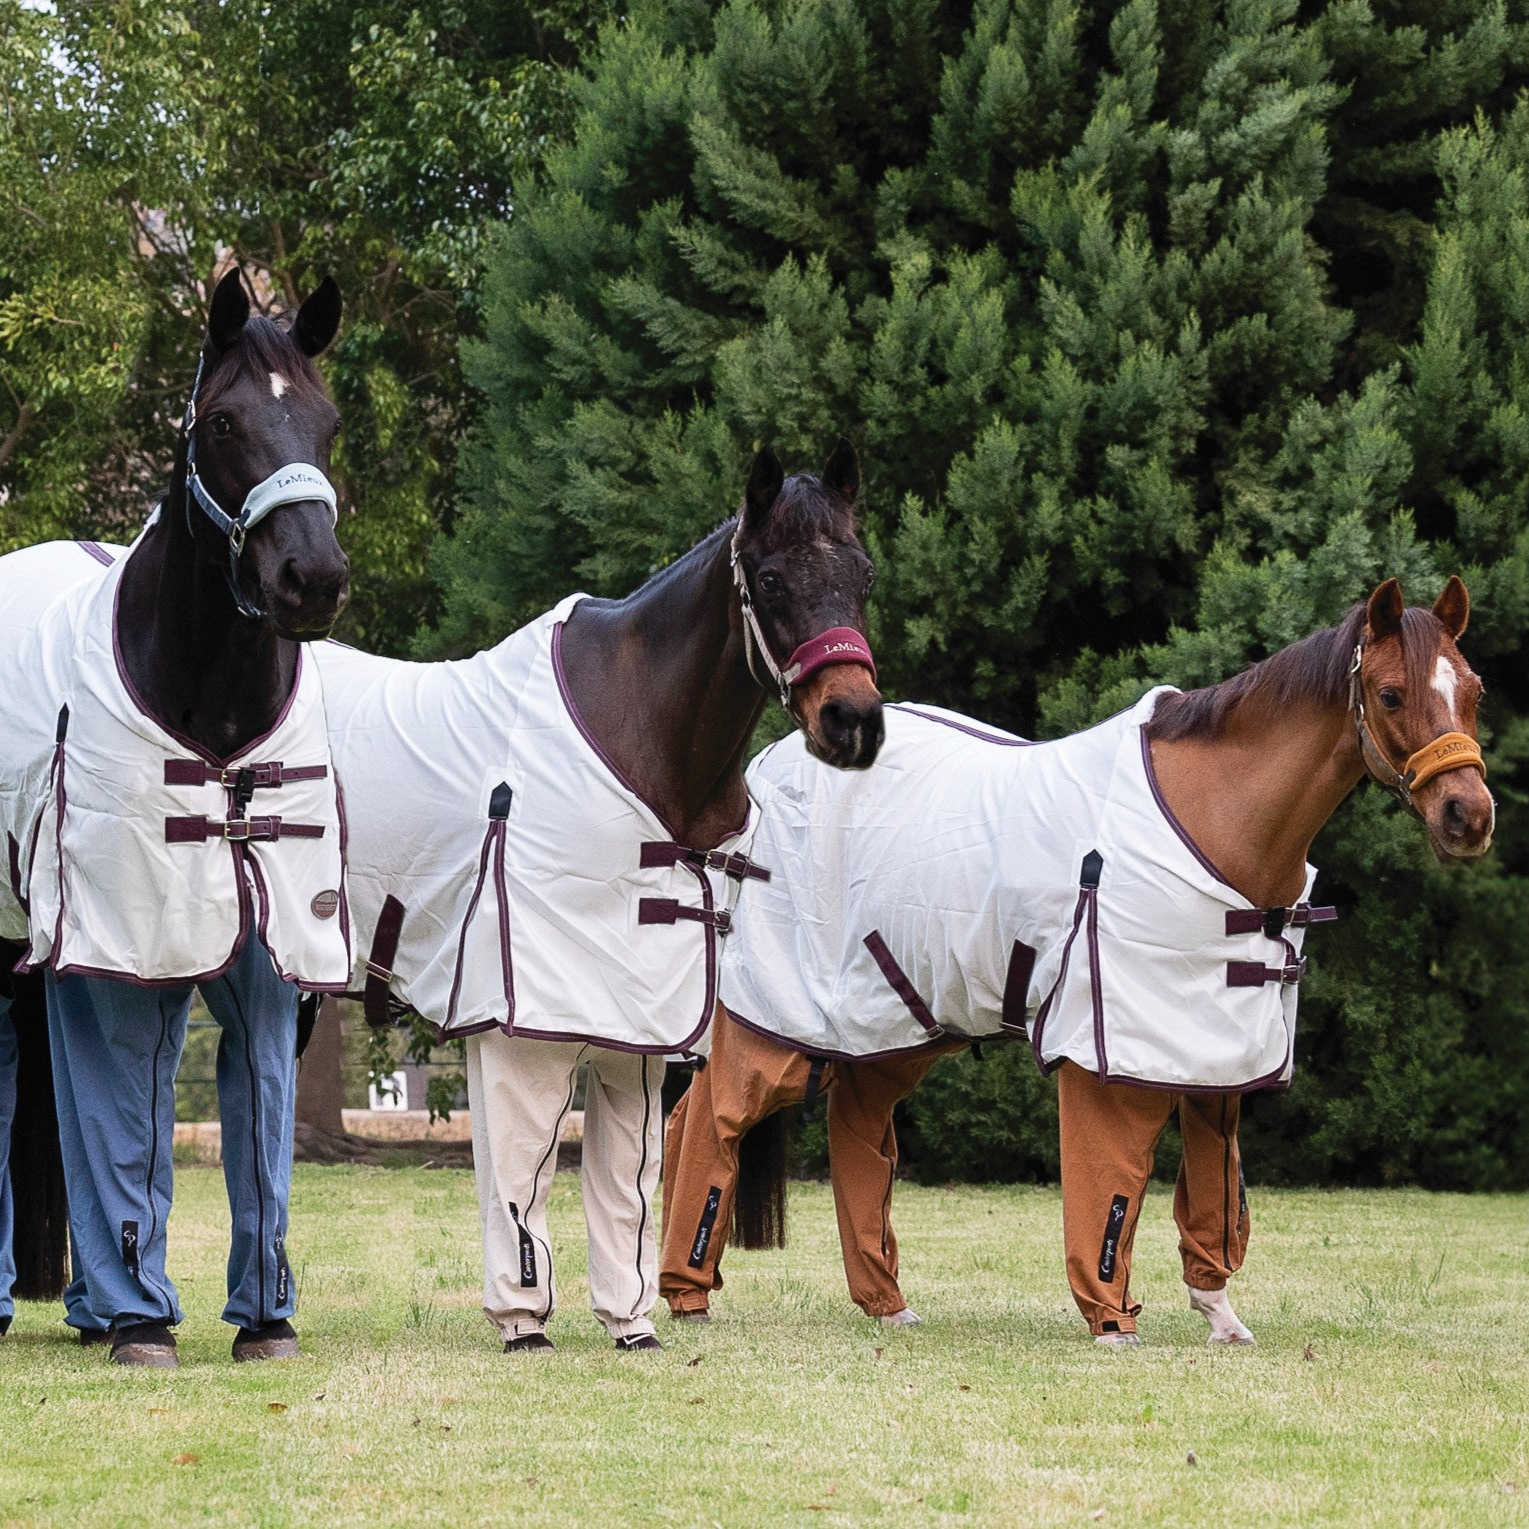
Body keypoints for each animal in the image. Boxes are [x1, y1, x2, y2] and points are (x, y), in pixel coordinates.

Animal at [1, 268, 350, 1366]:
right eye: (224, 421)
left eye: (327, 420)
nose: (312, 579)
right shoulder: (124, 956)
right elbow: (122, 1111)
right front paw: (143, 1319)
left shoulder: (268, 948)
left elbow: (262, 1128)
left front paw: (267, 1320)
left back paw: (82, 1310)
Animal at [319, 440, 883, 1351]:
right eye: (767, 577)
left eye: (862, 573)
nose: (853, 721)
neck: (650, 739)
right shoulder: (523, 1023)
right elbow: (521, 1170)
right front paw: (522, 1323)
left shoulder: (643, 1030)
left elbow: (628, 1187)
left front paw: (632, 1324)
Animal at [660, 577, 1493, 1345]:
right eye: (1389, 693)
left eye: (1474, 690)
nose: (1469, 816)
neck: (1218, 817)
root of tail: (766, 768)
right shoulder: (1110, 1054)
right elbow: (1110, 1181)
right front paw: (1110, 1318)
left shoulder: (1215, 1053)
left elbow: (1215, 1194)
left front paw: (1219, 1316)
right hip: (776, 1013)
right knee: (711, 1116)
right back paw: (683, 1292)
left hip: (893, 1019)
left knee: (852, 1126)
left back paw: (884, 1302)